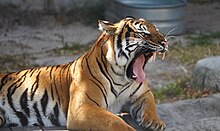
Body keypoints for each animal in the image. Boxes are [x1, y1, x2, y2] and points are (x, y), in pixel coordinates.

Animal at [0, 16, 168, 130]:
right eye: (144, 34)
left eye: (157, 30)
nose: (165, 42)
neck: (122, 78)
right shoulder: (82, 108)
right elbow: (114, 121)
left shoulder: (142, 93)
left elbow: (150, 102)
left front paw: (155, 122)